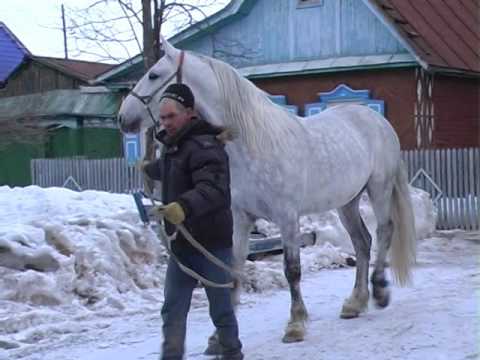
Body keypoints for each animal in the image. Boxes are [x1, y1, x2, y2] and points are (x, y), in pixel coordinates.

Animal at [119, 38, 416, 344]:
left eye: (154, 75)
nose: (122, 117)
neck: (252, 144)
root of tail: (378, 121)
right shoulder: (240, 217)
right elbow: (235, 267)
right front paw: (219, 336)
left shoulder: (287, 217)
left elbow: (292, 270)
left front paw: (295, 324)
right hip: (347, 202)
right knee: (361, 242)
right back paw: (355, 302)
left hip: (379, 189)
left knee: (384, 231)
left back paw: (379, 291)